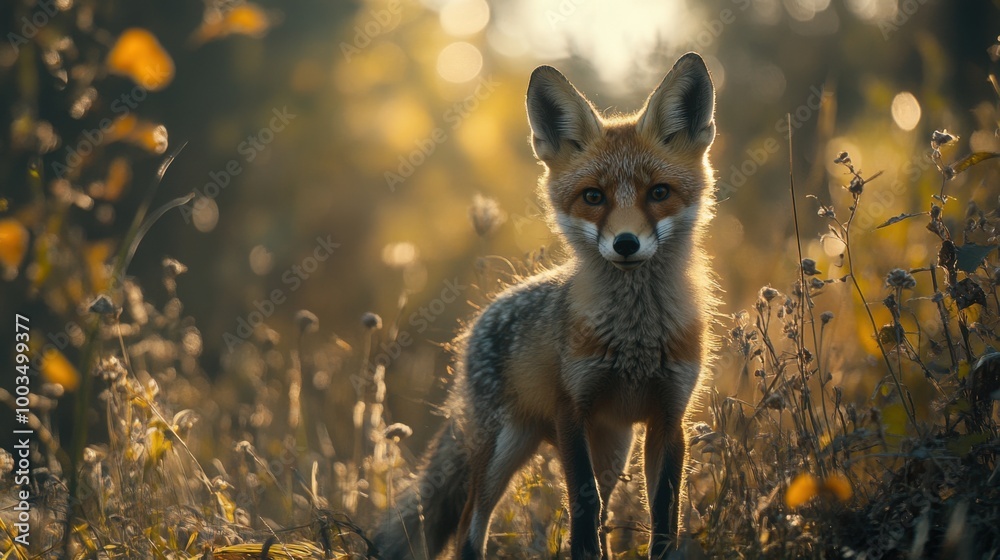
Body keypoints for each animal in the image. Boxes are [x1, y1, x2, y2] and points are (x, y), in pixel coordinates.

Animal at [374, 52, 717, 560]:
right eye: (593, 196)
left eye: (659, 192)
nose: (626, 243)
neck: (635, 338)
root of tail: (475, 323)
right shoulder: (571, 410)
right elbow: (584, 505)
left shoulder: (669, 417)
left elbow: (663, 516)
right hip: (505, 447)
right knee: (469, 529)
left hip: (613, 445)